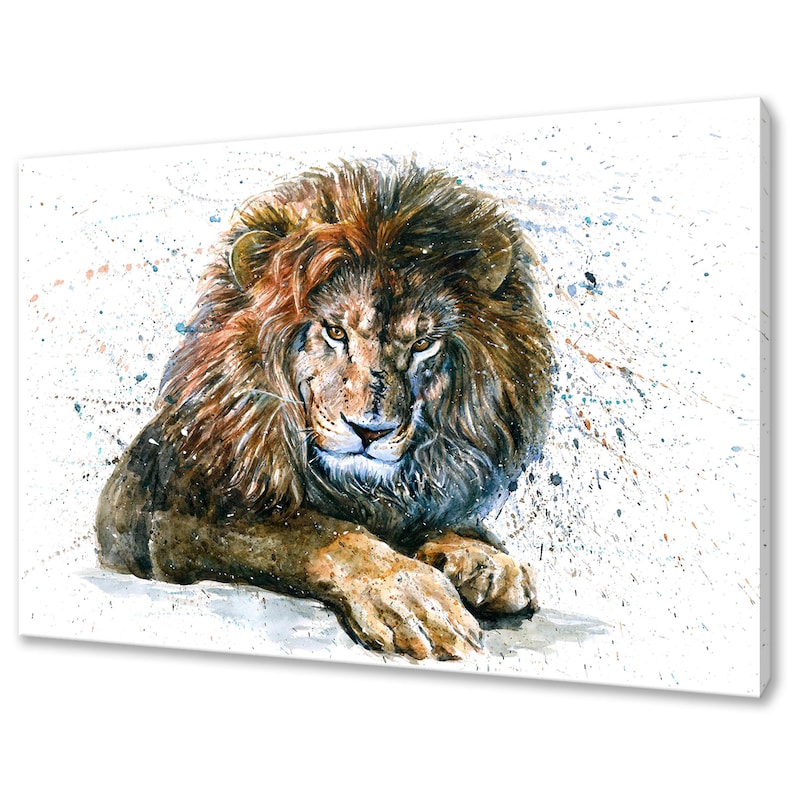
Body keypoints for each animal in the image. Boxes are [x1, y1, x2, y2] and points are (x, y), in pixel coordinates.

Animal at [96, 159, 554, 660]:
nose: (370, 432)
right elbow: (319, 534)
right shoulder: (162, 513)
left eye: (422, 344)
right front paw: (411, 596)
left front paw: (483, 559)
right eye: (335, 331)